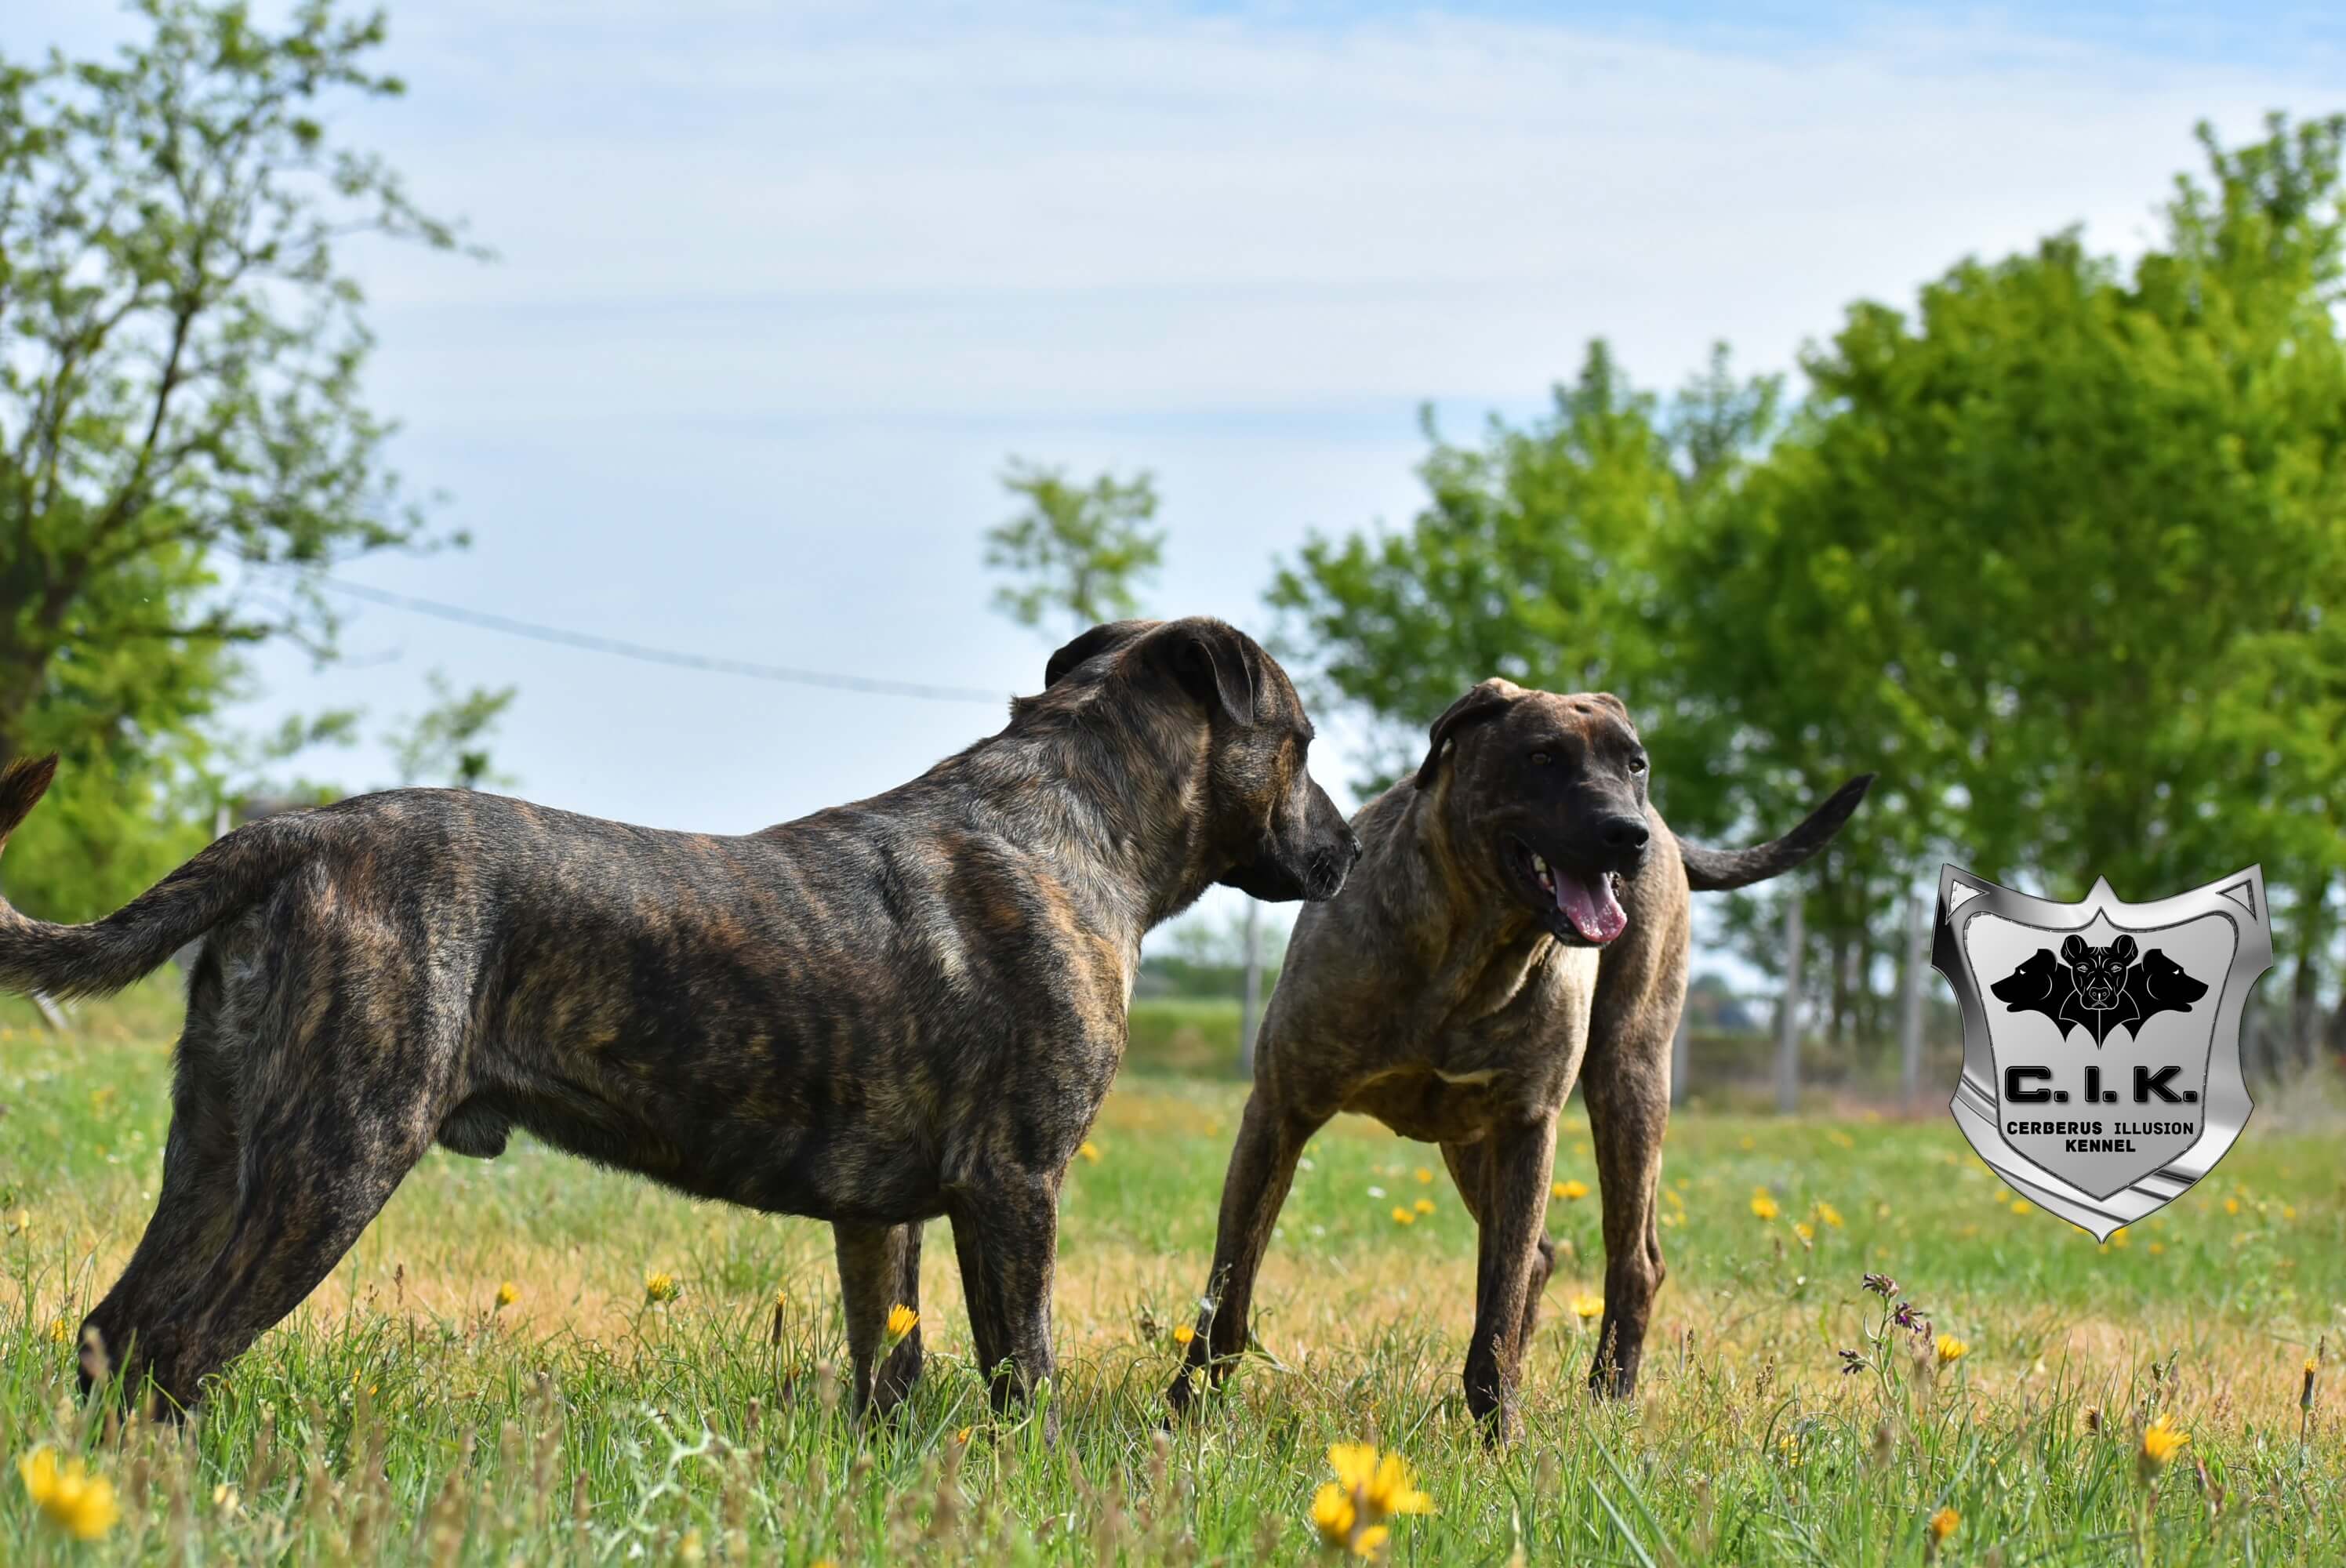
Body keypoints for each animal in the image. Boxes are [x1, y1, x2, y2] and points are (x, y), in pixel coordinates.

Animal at [0, 615, 1360, 1417]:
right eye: (1299, 741)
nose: (1346, 853)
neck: (1069, 826)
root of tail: (298, 835)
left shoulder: (884, 1219)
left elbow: (893, 1370)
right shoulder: (1015, 1182)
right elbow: (1020, 1371)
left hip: (216, 1148)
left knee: (115, 1332)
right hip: (335, 1156)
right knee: (181, 1347)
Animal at [1159, 681, 1867, 1436]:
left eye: (1635, 763)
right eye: (1543, 756)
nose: (1628, 833)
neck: (1470, 949)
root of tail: (1669, 832)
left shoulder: (1528, 1126)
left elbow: (1498, 1304)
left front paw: (1502, 1436)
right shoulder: (1279, 1113)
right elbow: (1229, 1287)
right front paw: (1185, 1409)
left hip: (1629, 1082)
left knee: (1631, 1261)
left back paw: (1609, 1399)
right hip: (1472, 1143)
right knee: (1545, 1255)